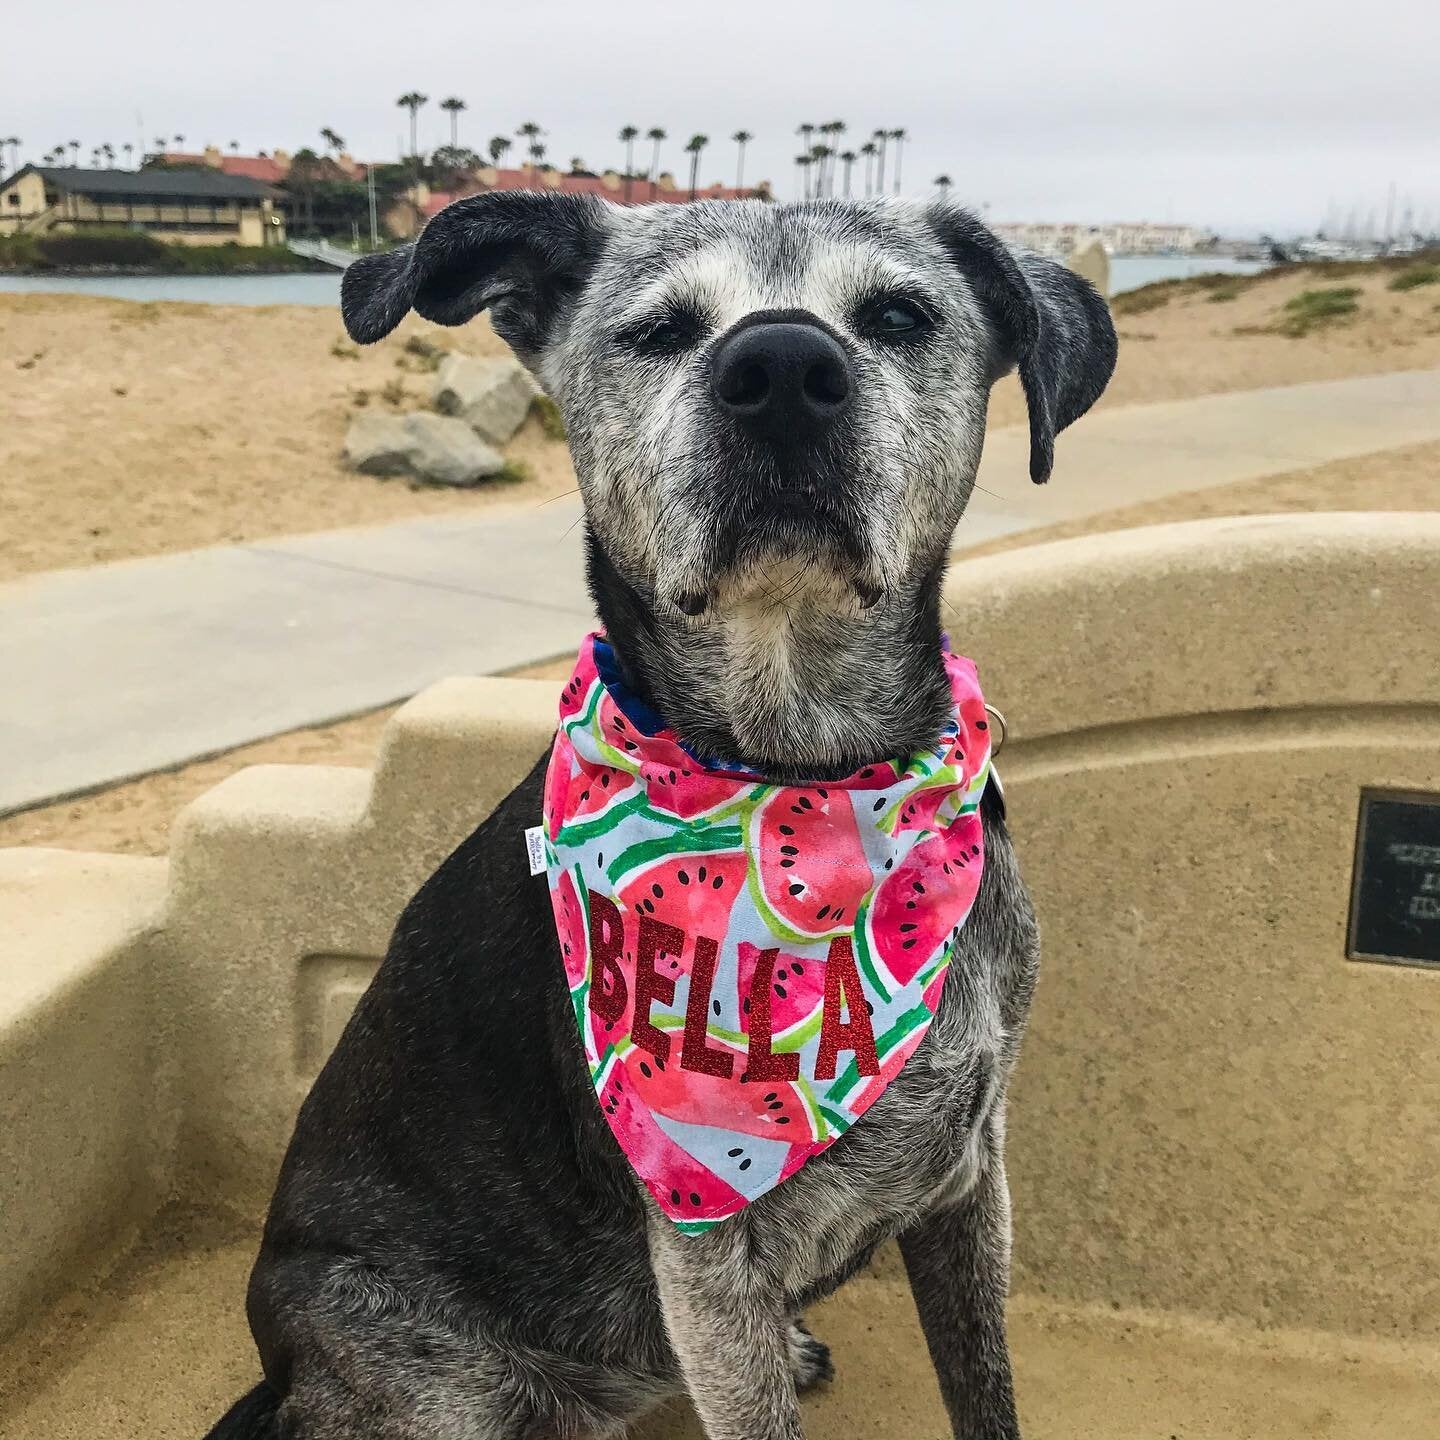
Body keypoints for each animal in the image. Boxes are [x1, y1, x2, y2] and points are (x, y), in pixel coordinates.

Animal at [205, 194, 1111, 1440]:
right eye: (660, 330)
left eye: (896, 315)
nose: (782, 368)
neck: (807, 771)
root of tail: (279, 1374)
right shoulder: (708, 1263)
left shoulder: (970, 1184)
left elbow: (988, 1396)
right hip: (439, 1383)